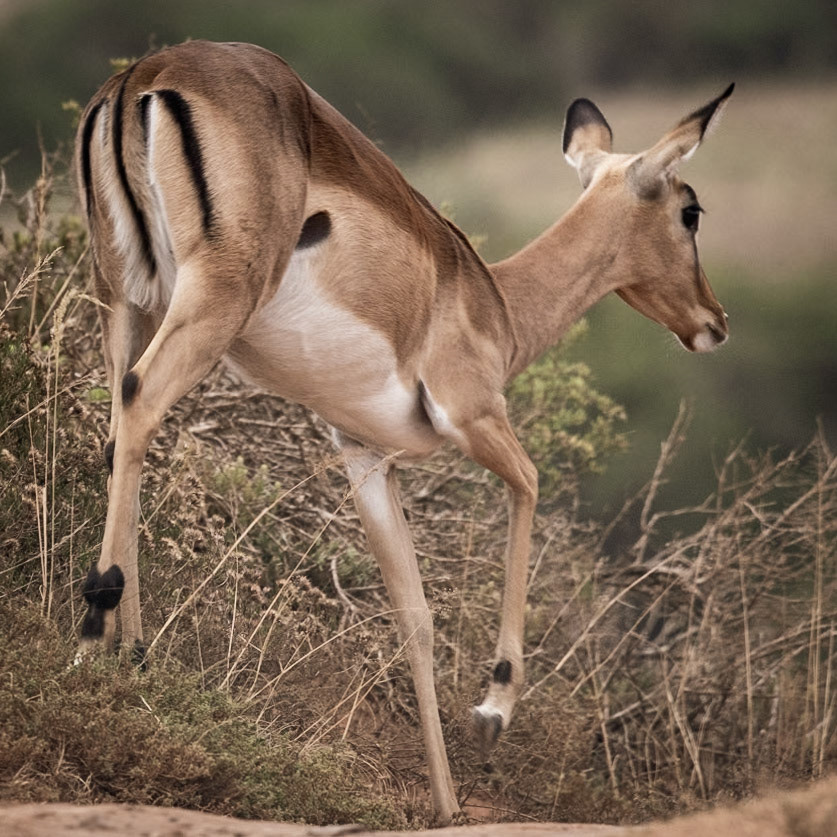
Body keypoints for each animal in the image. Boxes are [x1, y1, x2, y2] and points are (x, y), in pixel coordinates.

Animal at [75, 40, 732, 824]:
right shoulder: (472, 416)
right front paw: (492, 709)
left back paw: (130, 660)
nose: (715, 320)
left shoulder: (364, 456)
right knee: (141, 402)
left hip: (125, 300)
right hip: (211, 301)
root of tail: (145, 76)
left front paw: (446, 806)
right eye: (690, 210)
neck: (498, 310)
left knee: (120, 426)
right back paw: (95, 640)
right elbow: (530, 486)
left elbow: (412, 612)